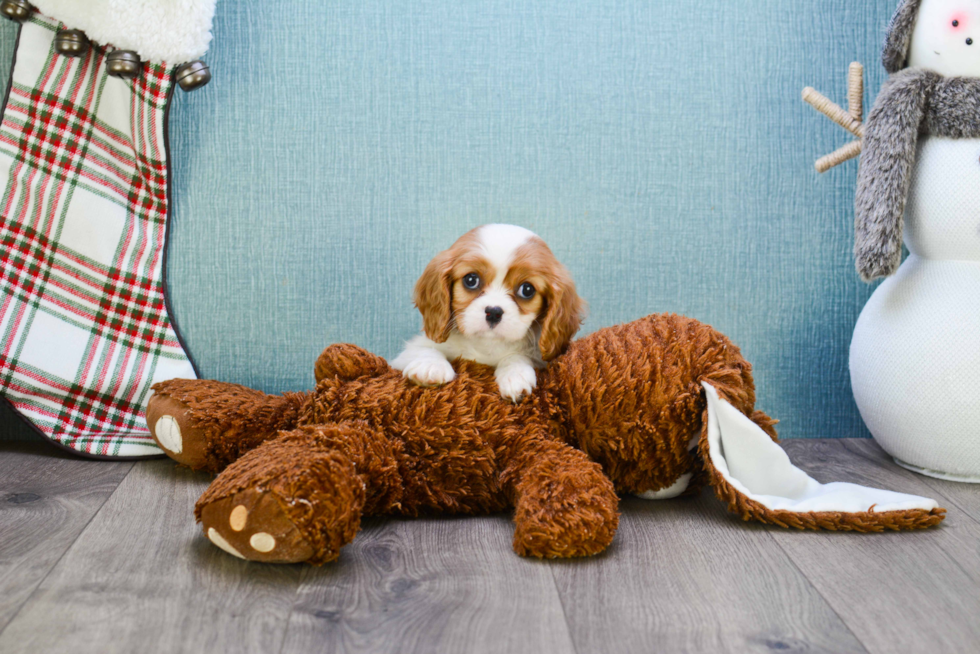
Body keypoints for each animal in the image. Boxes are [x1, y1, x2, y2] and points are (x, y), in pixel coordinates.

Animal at [390, 224, 584, 400]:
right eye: (471, 280)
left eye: (527, 290)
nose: (494, 312)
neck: (485, 344)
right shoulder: (402, 357)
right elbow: (424, 349)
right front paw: (430, 366)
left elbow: (517, 357)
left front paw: (515, 375)